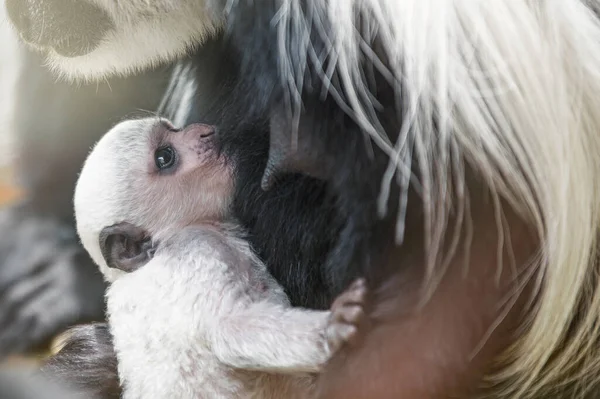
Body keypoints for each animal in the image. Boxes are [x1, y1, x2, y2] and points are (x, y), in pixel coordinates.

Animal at [64, 119, 370, 399]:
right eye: (165, 157)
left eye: (173, 128)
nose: (203, 131)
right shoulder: (196, 253)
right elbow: (229, 329)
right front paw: (331, 329)